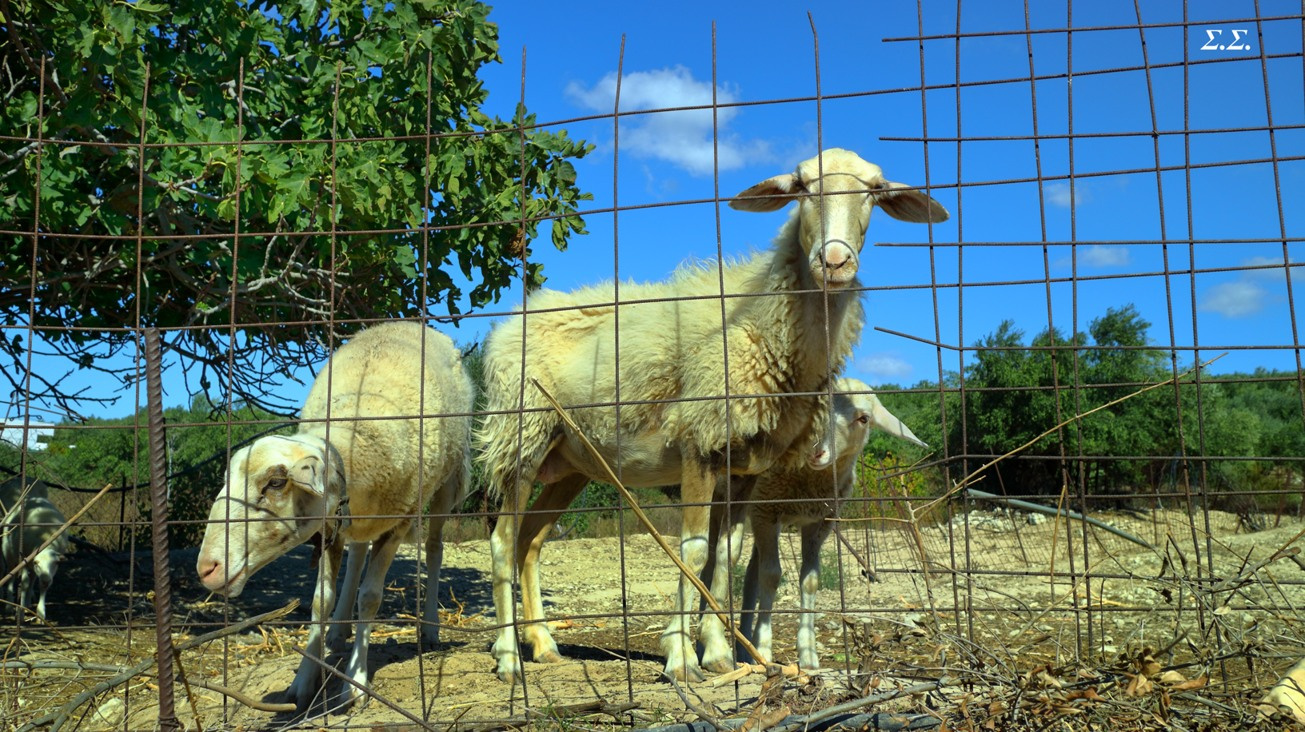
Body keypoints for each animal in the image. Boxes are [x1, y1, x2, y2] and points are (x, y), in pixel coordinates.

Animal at [1, 492, 69, 622]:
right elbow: (24, 583)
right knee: (11, 575)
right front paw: (20, 612)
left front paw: (41, 613)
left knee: (32, 579)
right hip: (10, 555)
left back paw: (27, 603)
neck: (45, 540)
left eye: (56, 563)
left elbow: (40, 586)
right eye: (37, 562)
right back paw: (9, 606)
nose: (46, 580)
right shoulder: (25, 560)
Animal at [195, 321, 474, 711]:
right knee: (358, 552)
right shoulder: (330, 526)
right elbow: (320, 601)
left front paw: (355, 681)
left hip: (446, 482)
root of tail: (406, 323)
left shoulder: (400, 521)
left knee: (434, 549)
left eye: (276, 482)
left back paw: (430, 627)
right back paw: (340, 631)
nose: (207, 568)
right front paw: (303, 680)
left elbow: (370, 596)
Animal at [697, 378, 926, 671]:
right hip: (723, 502)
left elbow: (810, 580)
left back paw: (745, 649)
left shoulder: (819, 522)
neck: (806, 482)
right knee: (712, 565)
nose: (816, 450)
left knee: (750, 575)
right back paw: (706, 646)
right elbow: (771, 576)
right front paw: (766, 646)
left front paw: (808, 654)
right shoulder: (766, 511)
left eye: (863, 418)